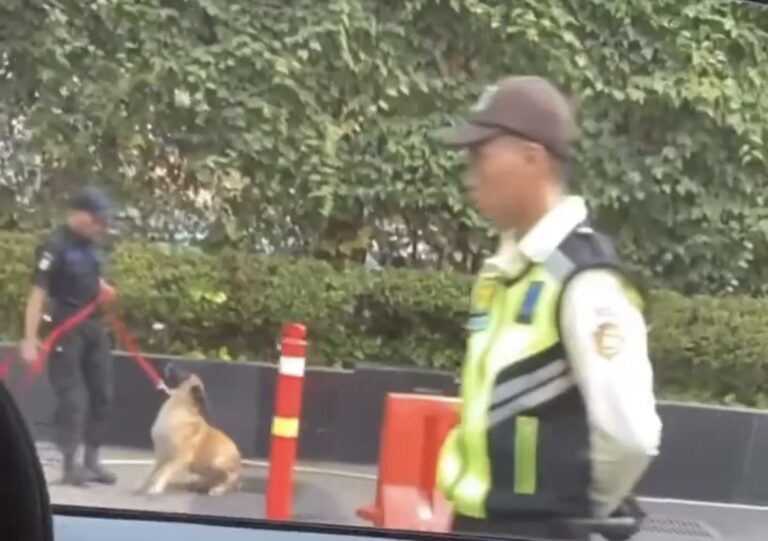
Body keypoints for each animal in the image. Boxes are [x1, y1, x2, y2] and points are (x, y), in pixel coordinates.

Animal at [137, 364, 240, 496]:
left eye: (186, 375)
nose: (170, 363)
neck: (179, 405)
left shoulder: (180, 458)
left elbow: (165, 471)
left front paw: (157, 487)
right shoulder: (161, 455)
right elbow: (150, 471)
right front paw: (143, 485)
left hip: (218, 463)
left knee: (228, 480)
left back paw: (219, 489)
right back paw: (201, 484)